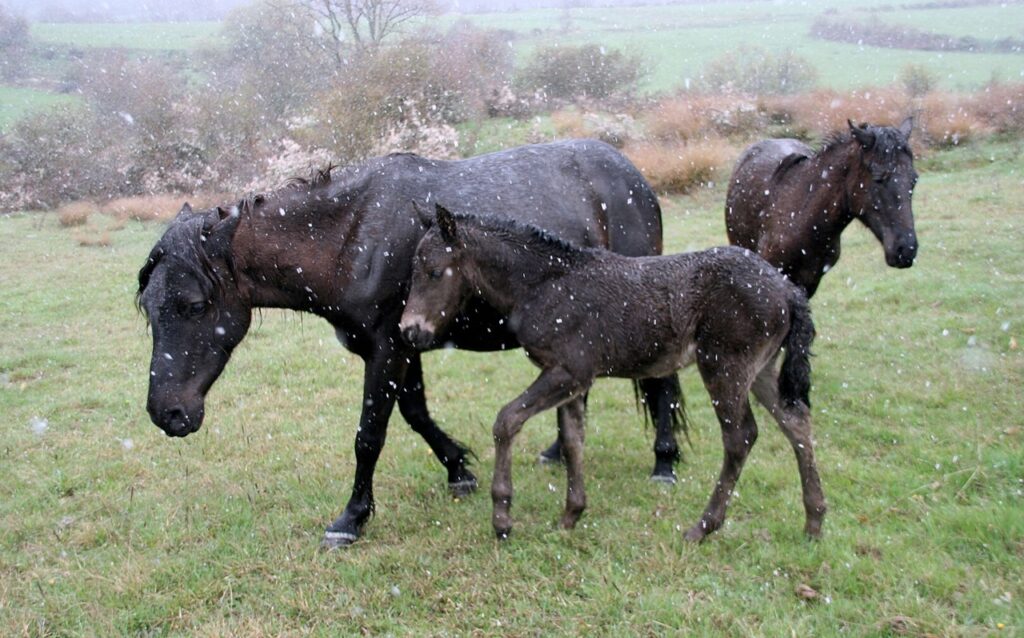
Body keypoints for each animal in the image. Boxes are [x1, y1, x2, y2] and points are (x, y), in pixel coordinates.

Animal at [135, 139, 684, 548]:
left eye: (193, 305)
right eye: (148, 307)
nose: (168, 414)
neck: (352, 235)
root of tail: (631, 173)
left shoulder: (387, 350)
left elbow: (369, 435)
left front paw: (350, 519)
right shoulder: (403, 343)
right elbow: (416, 413)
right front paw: (458, 469)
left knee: (661, 381)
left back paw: (664, 462)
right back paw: (555, 451)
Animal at [400, 204, 823, 542]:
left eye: (434, 272)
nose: (409, 330)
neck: (545, 285)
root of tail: (788, 290)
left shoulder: (568, 371)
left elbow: (507, 420)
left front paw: (502, 518)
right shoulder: (569, 379)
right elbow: (572, 440)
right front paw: (570, 515)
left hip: (724, 365)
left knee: (740, 437)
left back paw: (703, 527)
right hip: (761, 369)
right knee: (796, 422)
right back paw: (814, 521)